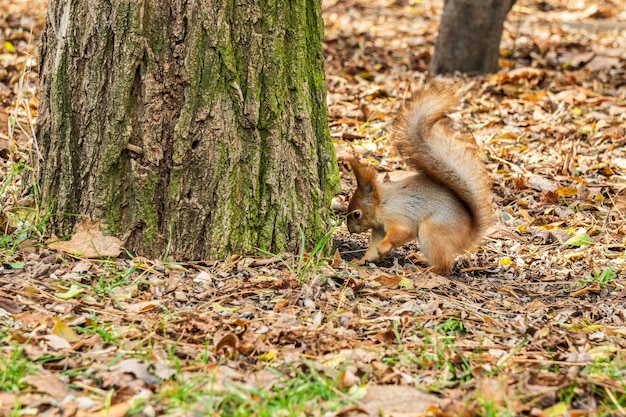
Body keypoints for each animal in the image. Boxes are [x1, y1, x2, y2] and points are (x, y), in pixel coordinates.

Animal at [344, 82, 490, 274]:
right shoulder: (379, 229)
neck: (382, 203)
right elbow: (372, 249)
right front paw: (361, 260)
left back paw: (422, 268)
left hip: (432, 232)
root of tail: (468, 235)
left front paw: (384, 247)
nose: (350, 230)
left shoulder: (399, 216)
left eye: (356, 214)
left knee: (443, 266)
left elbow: (403, 233)